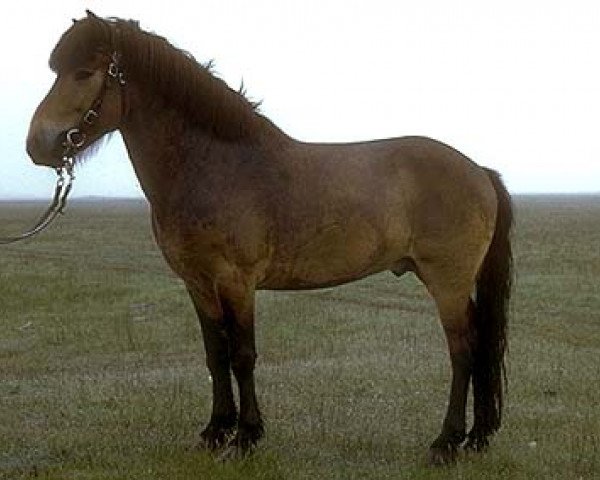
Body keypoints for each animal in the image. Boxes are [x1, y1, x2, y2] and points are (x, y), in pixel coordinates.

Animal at [27, 9, 510, 464]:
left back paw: (446, 443)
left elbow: (243, 355)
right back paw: (477, 437)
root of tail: (478, 171)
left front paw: (245, 437)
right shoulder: (198, 283)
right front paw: (215, 431)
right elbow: (215, 354)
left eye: (83, 72)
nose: (37, 145)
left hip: (447, 283)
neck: (215, 165)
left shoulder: (237, 282)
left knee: (464, 351)